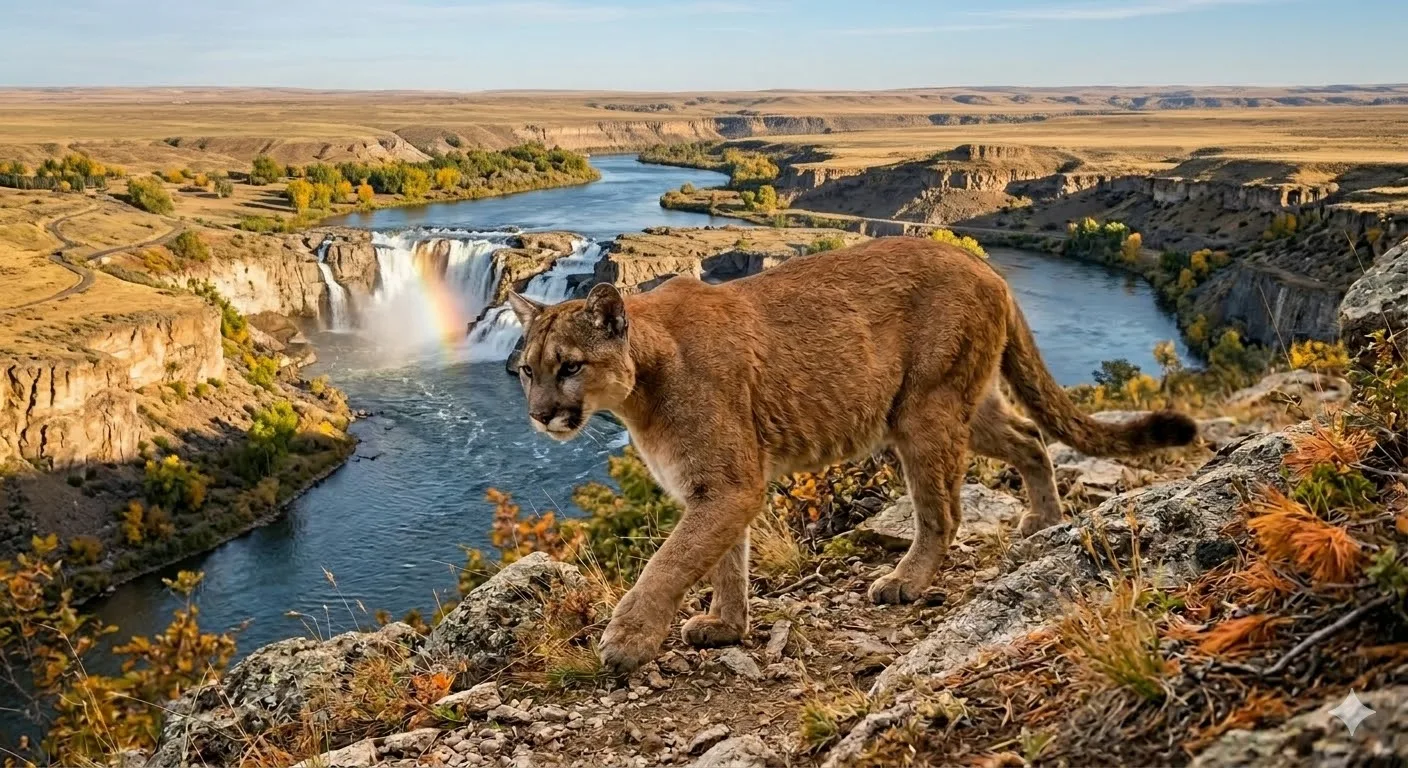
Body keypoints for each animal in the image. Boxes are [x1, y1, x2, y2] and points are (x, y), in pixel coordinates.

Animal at [507, 236, 1196, 672]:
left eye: (570, 366)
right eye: (526, 370)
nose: (540, 414)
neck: (642, 382)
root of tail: (983, 266)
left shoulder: (729, 483)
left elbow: (670, 560)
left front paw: (628, 639)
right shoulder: (718, 486)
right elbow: (724, 559)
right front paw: (726, 625)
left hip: (923, 413)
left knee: (943, 511)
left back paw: (907, 580)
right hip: (961, 405)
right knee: (1029, 437)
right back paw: (1044, 520)